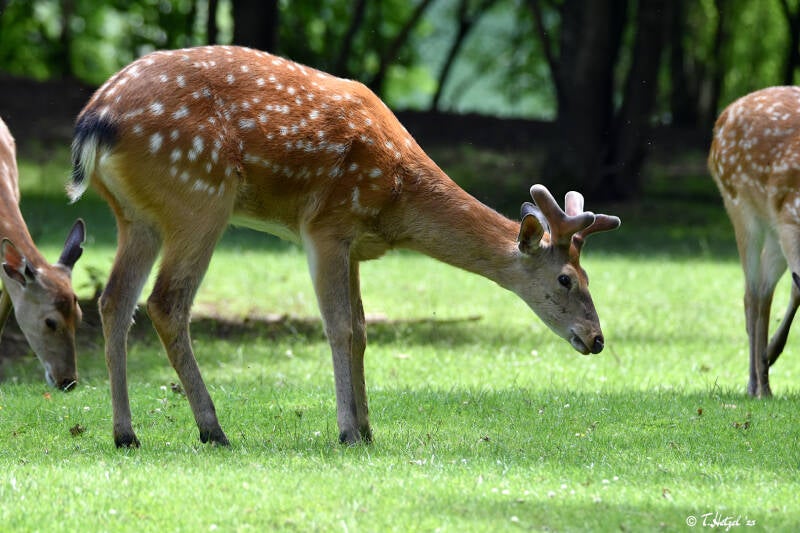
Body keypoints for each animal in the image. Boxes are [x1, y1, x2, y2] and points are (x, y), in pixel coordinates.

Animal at [69, 45, 620, 448]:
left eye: (591, 276)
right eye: (565, 279)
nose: (596, 338)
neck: (397, 197)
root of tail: (95, 121)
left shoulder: (354, 245)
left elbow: (361, 329)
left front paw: (369, 428)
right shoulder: (325, 225)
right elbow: (337, 327)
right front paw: (348, 430)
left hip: (136, 216)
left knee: (113, 300)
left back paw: (125, 434)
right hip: (199, 197)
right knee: (165, 302)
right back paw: (213, 429)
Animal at [709, 85, 800, 398]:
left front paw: (770, 354)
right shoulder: (789, 217)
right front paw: (769, 355)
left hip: (772, 231)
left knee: (763, 291)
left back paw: (764, 380)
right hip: (739, 204)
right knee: (751, 294)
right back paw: (755, 384)